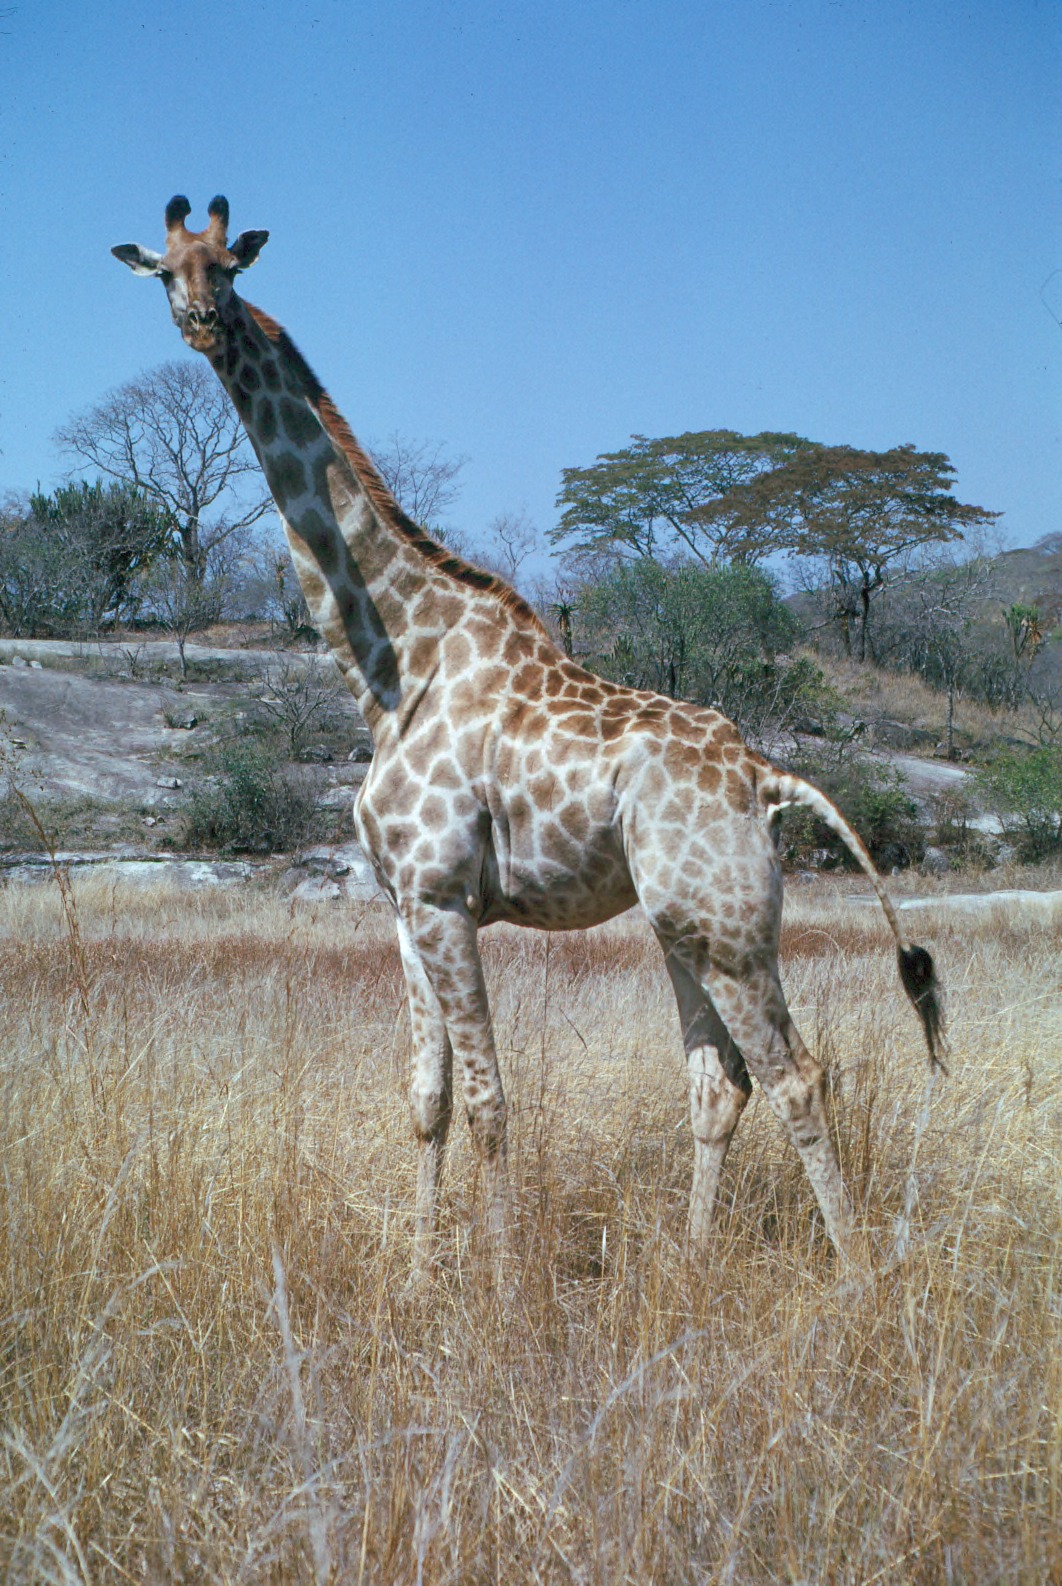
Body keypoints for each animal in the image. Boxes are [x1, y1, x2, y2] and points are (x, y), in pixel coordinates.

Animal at [113, 196, 945, 1277]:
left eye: (226, 264)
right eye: (165, 270)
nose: (204, 320)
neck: (391, 668)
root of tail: (767, 777)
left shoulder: (445, 897)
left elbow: (489, 1103)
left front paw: (503, 1285)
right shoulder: (402, 905)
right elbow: (426, 1100)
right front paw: (420, 1278)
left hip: (728, 928)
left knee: (797, 1074)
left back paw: (855, 1279)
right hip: (682, 924)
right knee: (719, 1080)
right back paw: (689, 1263)